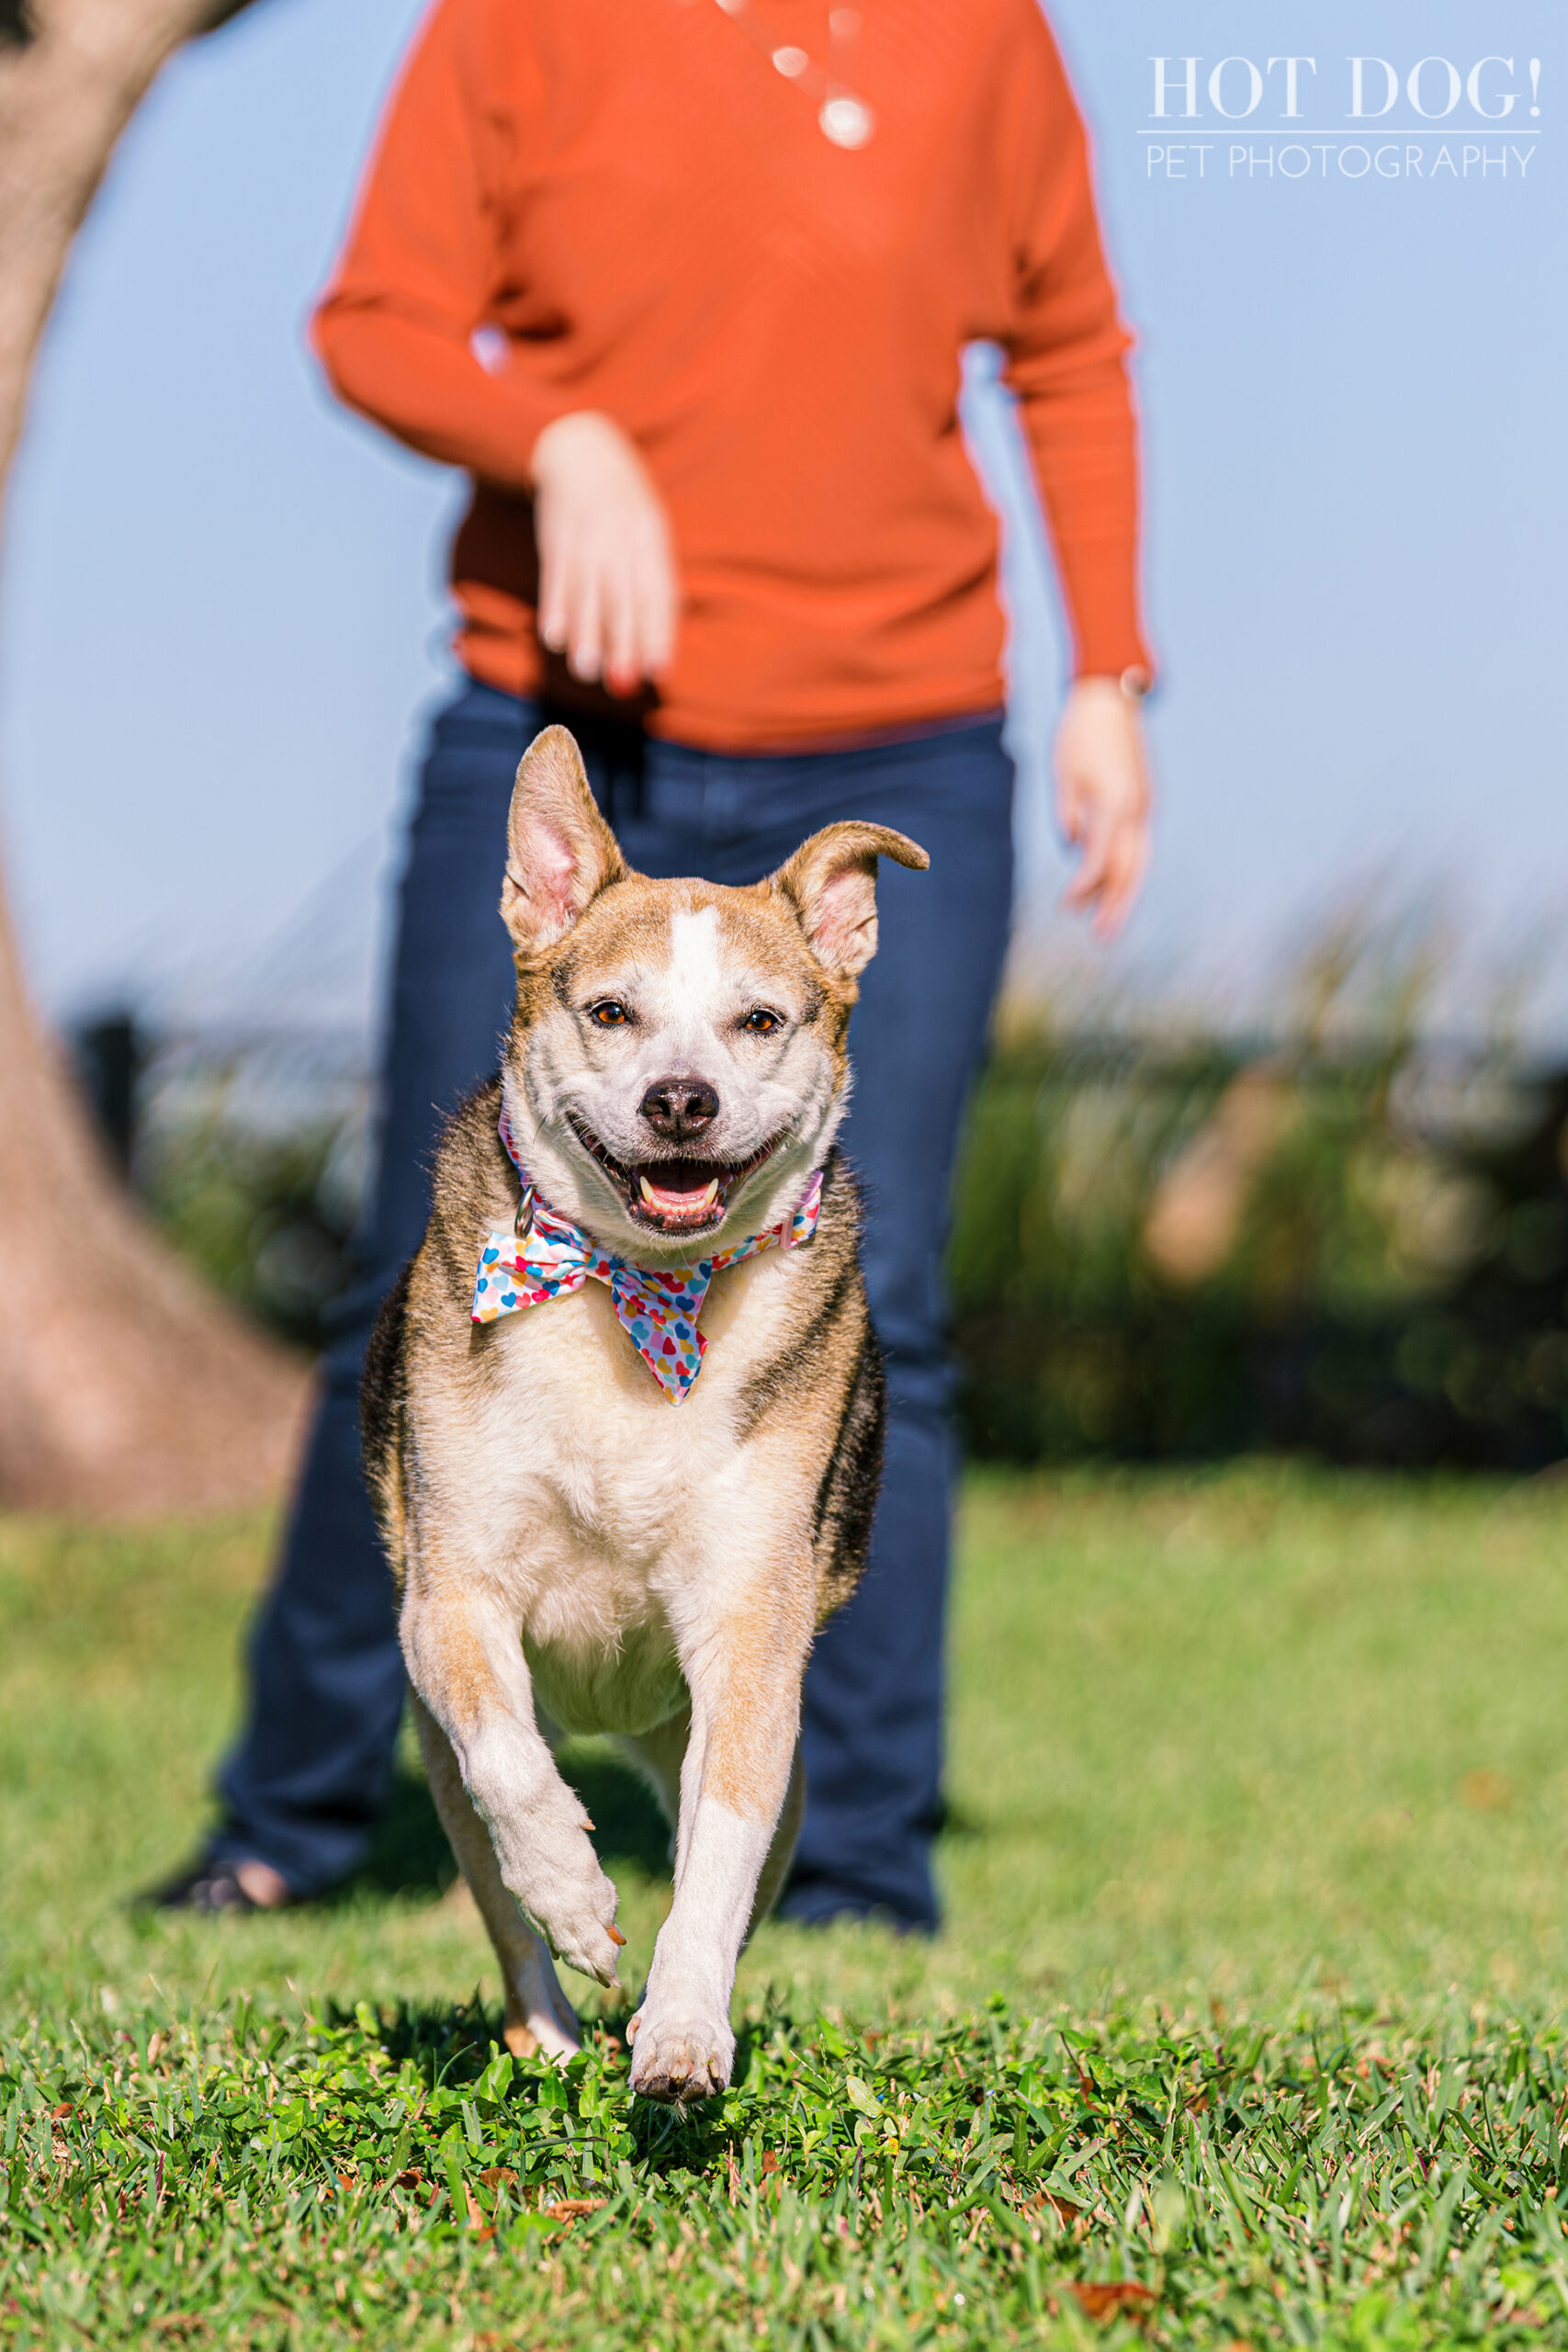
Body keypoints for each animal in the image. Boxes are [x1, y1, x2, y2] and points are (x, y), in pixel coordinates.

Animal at [364, 724, 931, 2107]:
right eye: (610, 1012)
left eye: (759, 1020)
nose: (681, 1100)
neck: (638, 1289)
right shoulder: (451, 1598)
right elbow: (513, 1767)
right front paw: (575, 1892)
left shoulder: (748, 1642)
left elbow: (714, 1865)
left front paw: (678, 2031)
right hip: (439, 1757)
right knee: (502, 1901)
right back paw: (556, 2026)